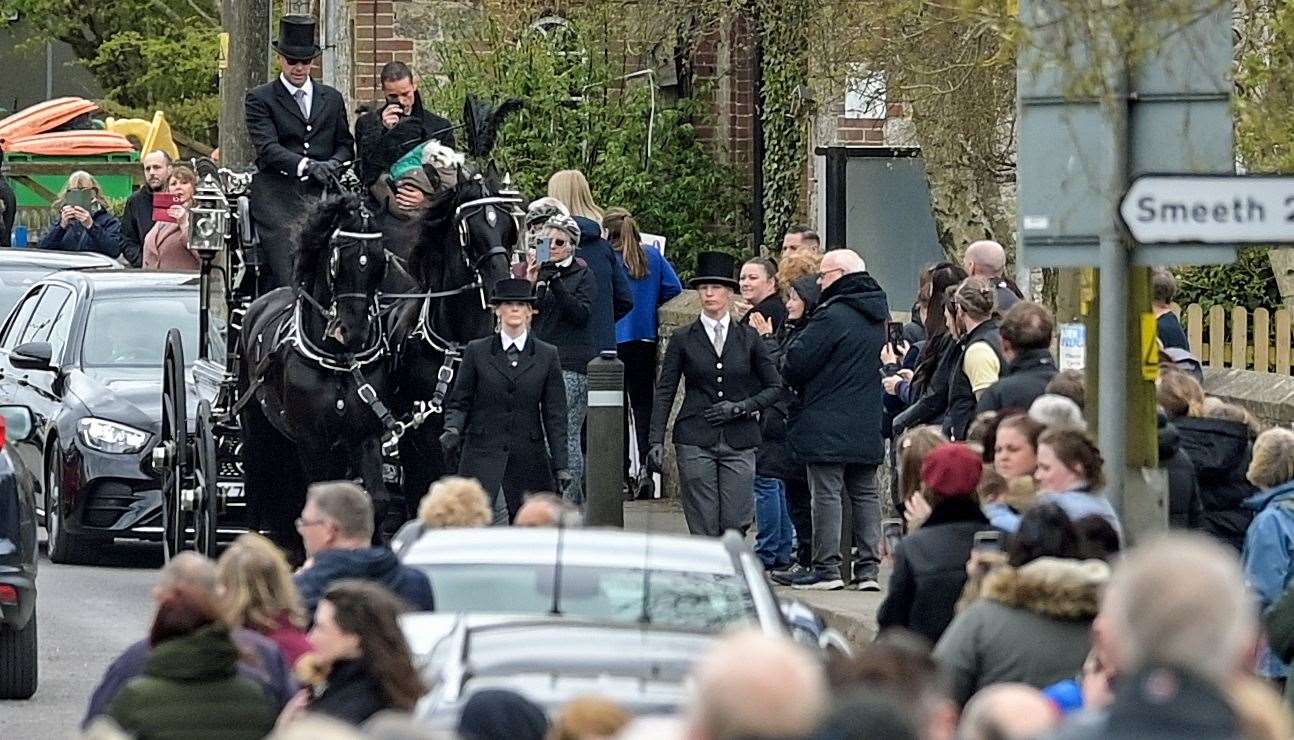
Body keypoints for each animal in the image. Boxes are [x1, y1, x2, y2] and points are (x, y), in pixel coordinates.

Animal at [236, 192, 388, 548]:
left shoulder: (364, 435)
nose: (353, 332)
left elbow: (374, 499)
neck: (339, 362)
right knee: (258, 482)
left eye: (380, 261)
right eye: (336, 260)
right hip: (255, 426)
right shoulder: (312, 439)